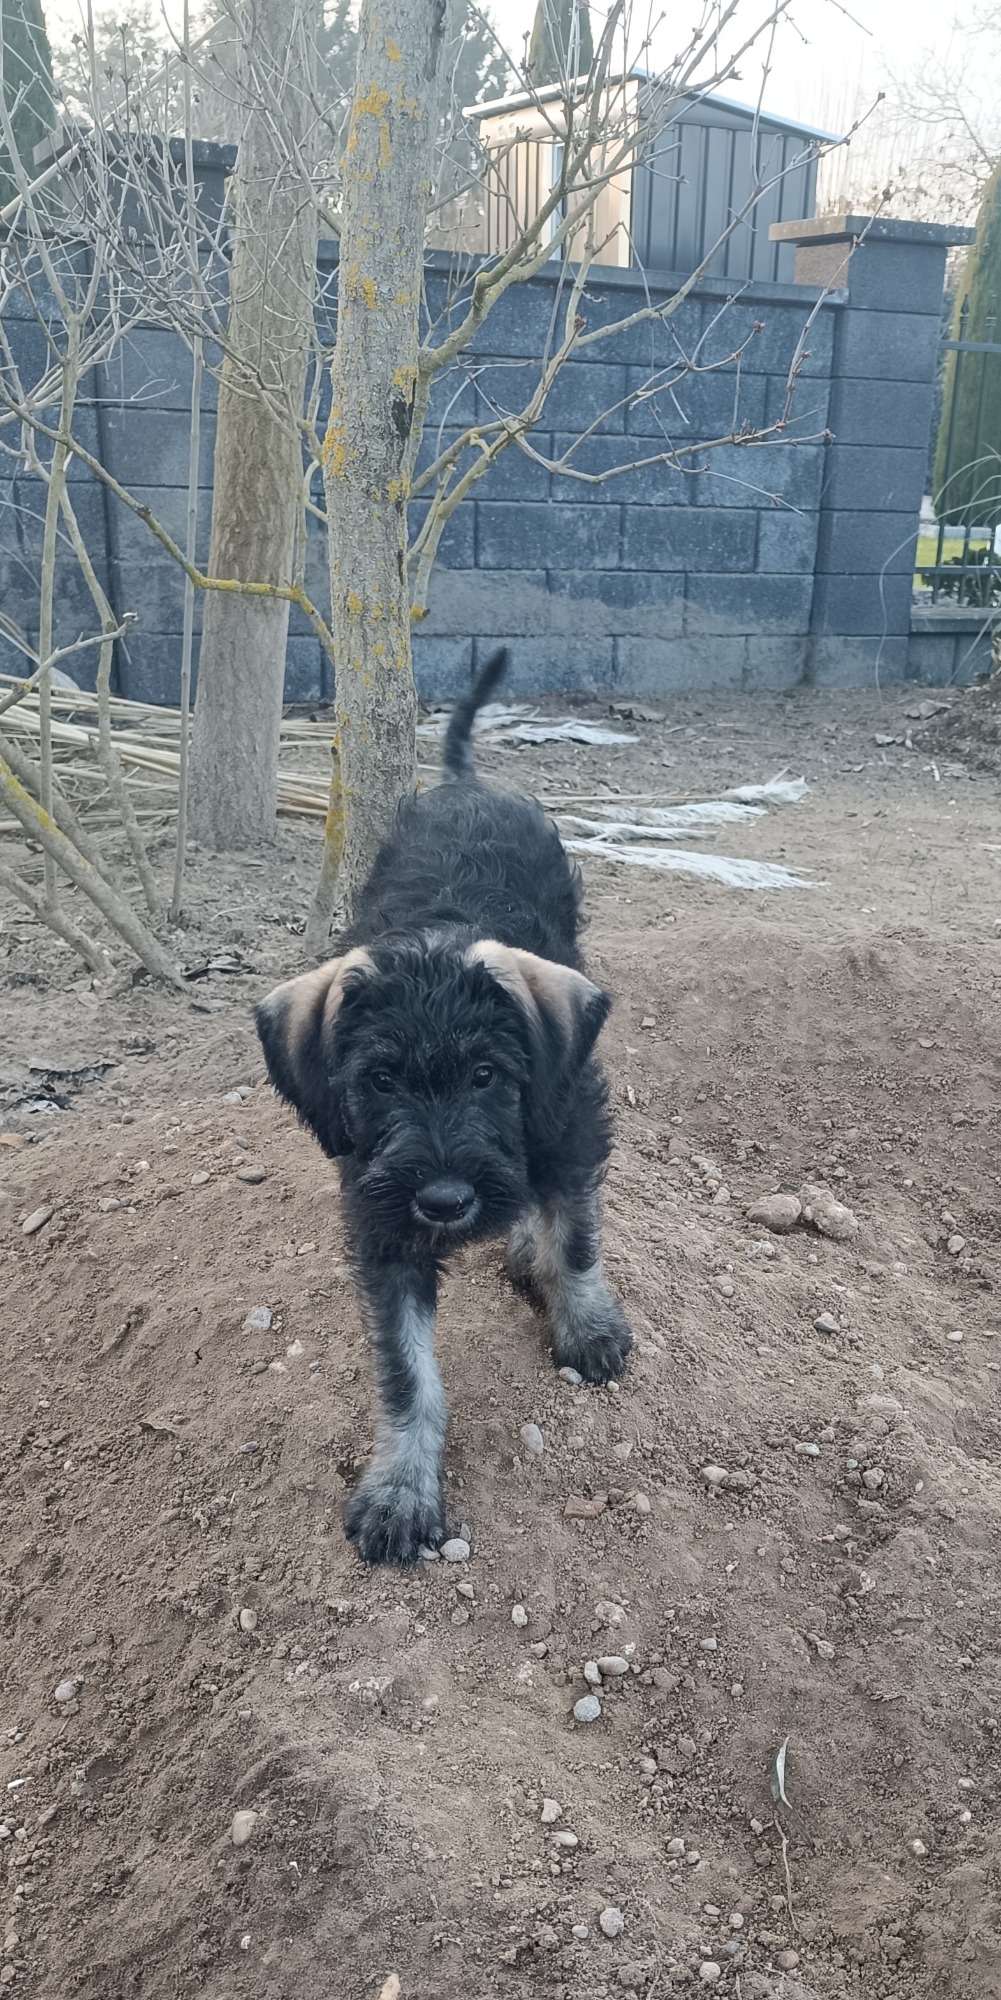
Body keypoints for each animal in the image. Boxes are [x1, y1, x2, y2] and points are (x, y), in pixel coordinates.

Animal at [256, 650, 632, 1565]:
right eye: (379, 1082)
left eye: (488, 1075)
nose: (444, 1201)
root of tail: (466, 784)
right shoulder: (383, 1232)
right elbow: (406, 1374)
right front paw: (400, 1491)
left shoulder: (567, 1127)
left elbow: (575, 1235)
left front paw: (585, 1324)